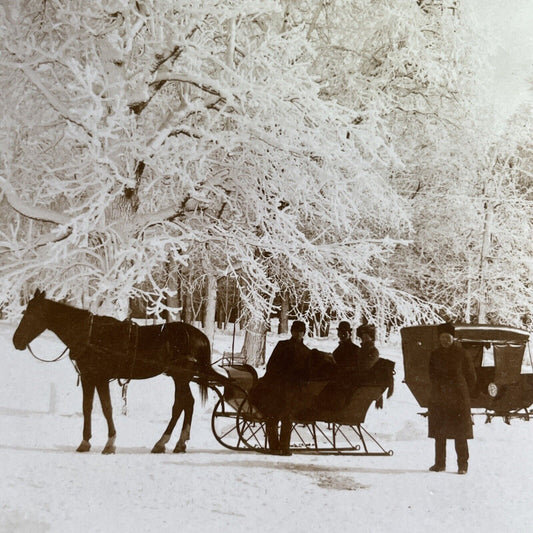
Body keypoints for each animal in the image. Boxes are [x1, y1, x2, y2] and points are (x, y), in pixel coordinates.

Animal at [11, 290, 224, 454]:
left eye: (31, 314)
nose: (16, 341)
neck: (90, 335)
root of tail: (198, 334)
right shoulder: (88, 377)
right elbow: (87, 407)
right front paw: (85, 442)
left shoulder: (100, 378)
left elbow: (107, 408)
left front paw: (110, 443)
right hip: (180, 377)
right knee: (186, 404)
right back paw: (177, 443)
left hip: (181, 377)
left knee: (181, 404)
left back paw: (164, 442)